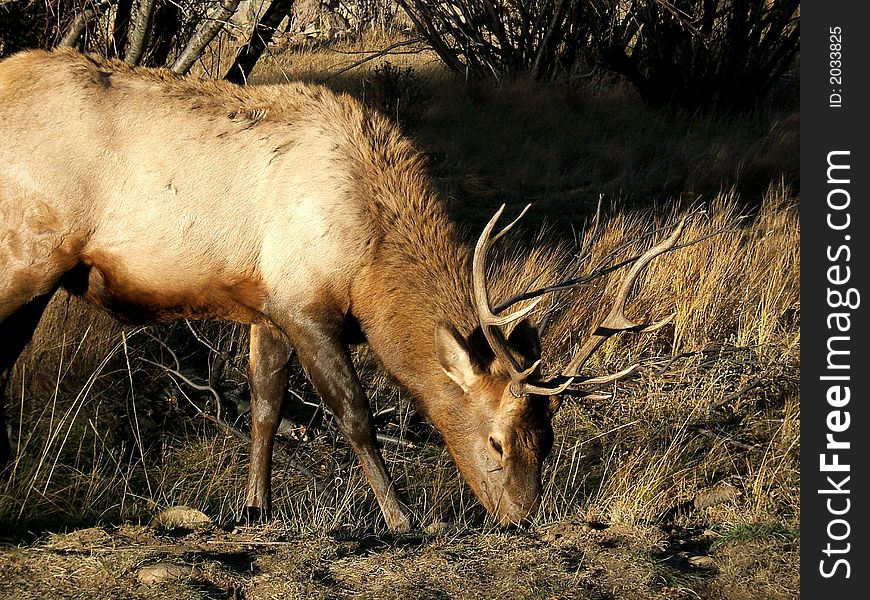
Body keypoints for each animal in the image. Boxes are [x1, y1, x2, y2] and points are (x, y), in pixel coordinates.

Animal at [1, 49, 688, 532]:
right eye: (498, 439)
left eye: (546, 438)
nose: (523, 516)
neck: (368, 265)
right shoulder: (306, 304)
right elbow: (355, 414)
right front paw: (402, 516)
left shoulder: (268, 306)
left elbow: (265, 407)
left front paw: (256, 509)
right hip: (27, 254)